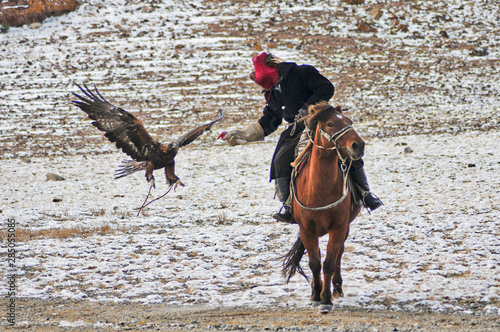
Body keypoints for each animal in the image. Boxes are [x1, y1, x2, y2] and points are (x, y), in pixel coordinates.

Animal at [286, 101, 364, 314]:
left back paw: (336, 287)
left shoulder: (338, 227)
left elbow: (329, 263)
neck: (319, 190)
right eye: (330, 124)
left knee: (338, 254)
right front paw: (315, 295)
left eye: (349, 121)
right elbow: (314, 263)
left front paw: (326, 299)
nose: (358, 145)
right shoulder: (306, 230)